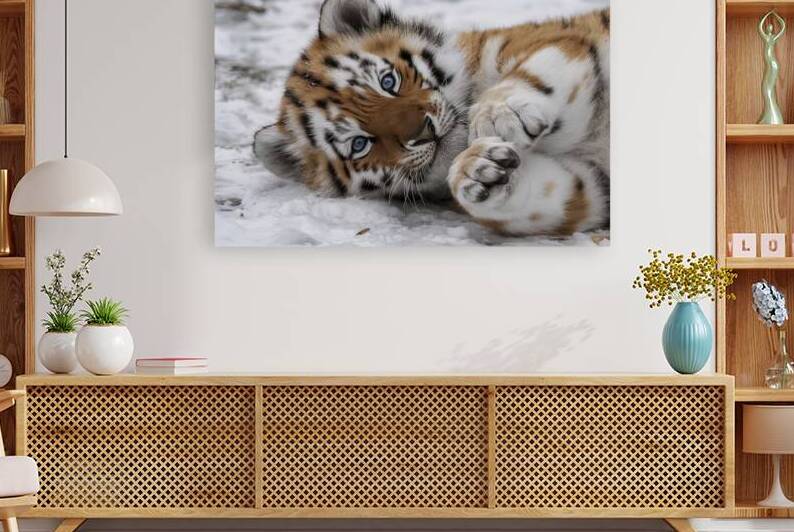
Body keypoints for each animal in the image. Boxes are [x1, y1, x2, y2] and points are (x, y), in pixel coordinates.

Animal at [254, 0, 610, 237]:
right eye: (359, 144)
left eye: (388, 81)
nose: (423, 132)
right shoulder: (595, 187)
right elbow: (553, 196)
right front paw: (479, 172)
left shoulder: (567, 39)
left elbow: (540, 65)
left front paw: (497, 114)